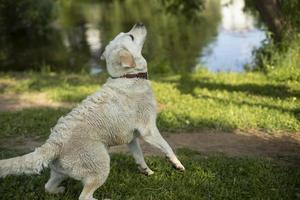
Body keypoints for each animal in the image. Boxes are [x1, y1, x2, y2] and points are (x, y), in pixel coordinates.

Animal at [0, 23, 184, 200]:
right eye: (131, 36)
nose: (140, 23)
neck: (128, 77)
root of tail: (54, 142)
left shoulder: (132, 138)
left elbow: (139, 155)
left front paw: (146, 171)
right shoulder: (148, 130)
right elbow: (167, 146)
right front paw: (177, 164)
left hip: (60, 171)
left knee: (48, 187)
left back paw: (58, 190)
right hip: (101, 164)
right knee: (84, 196)